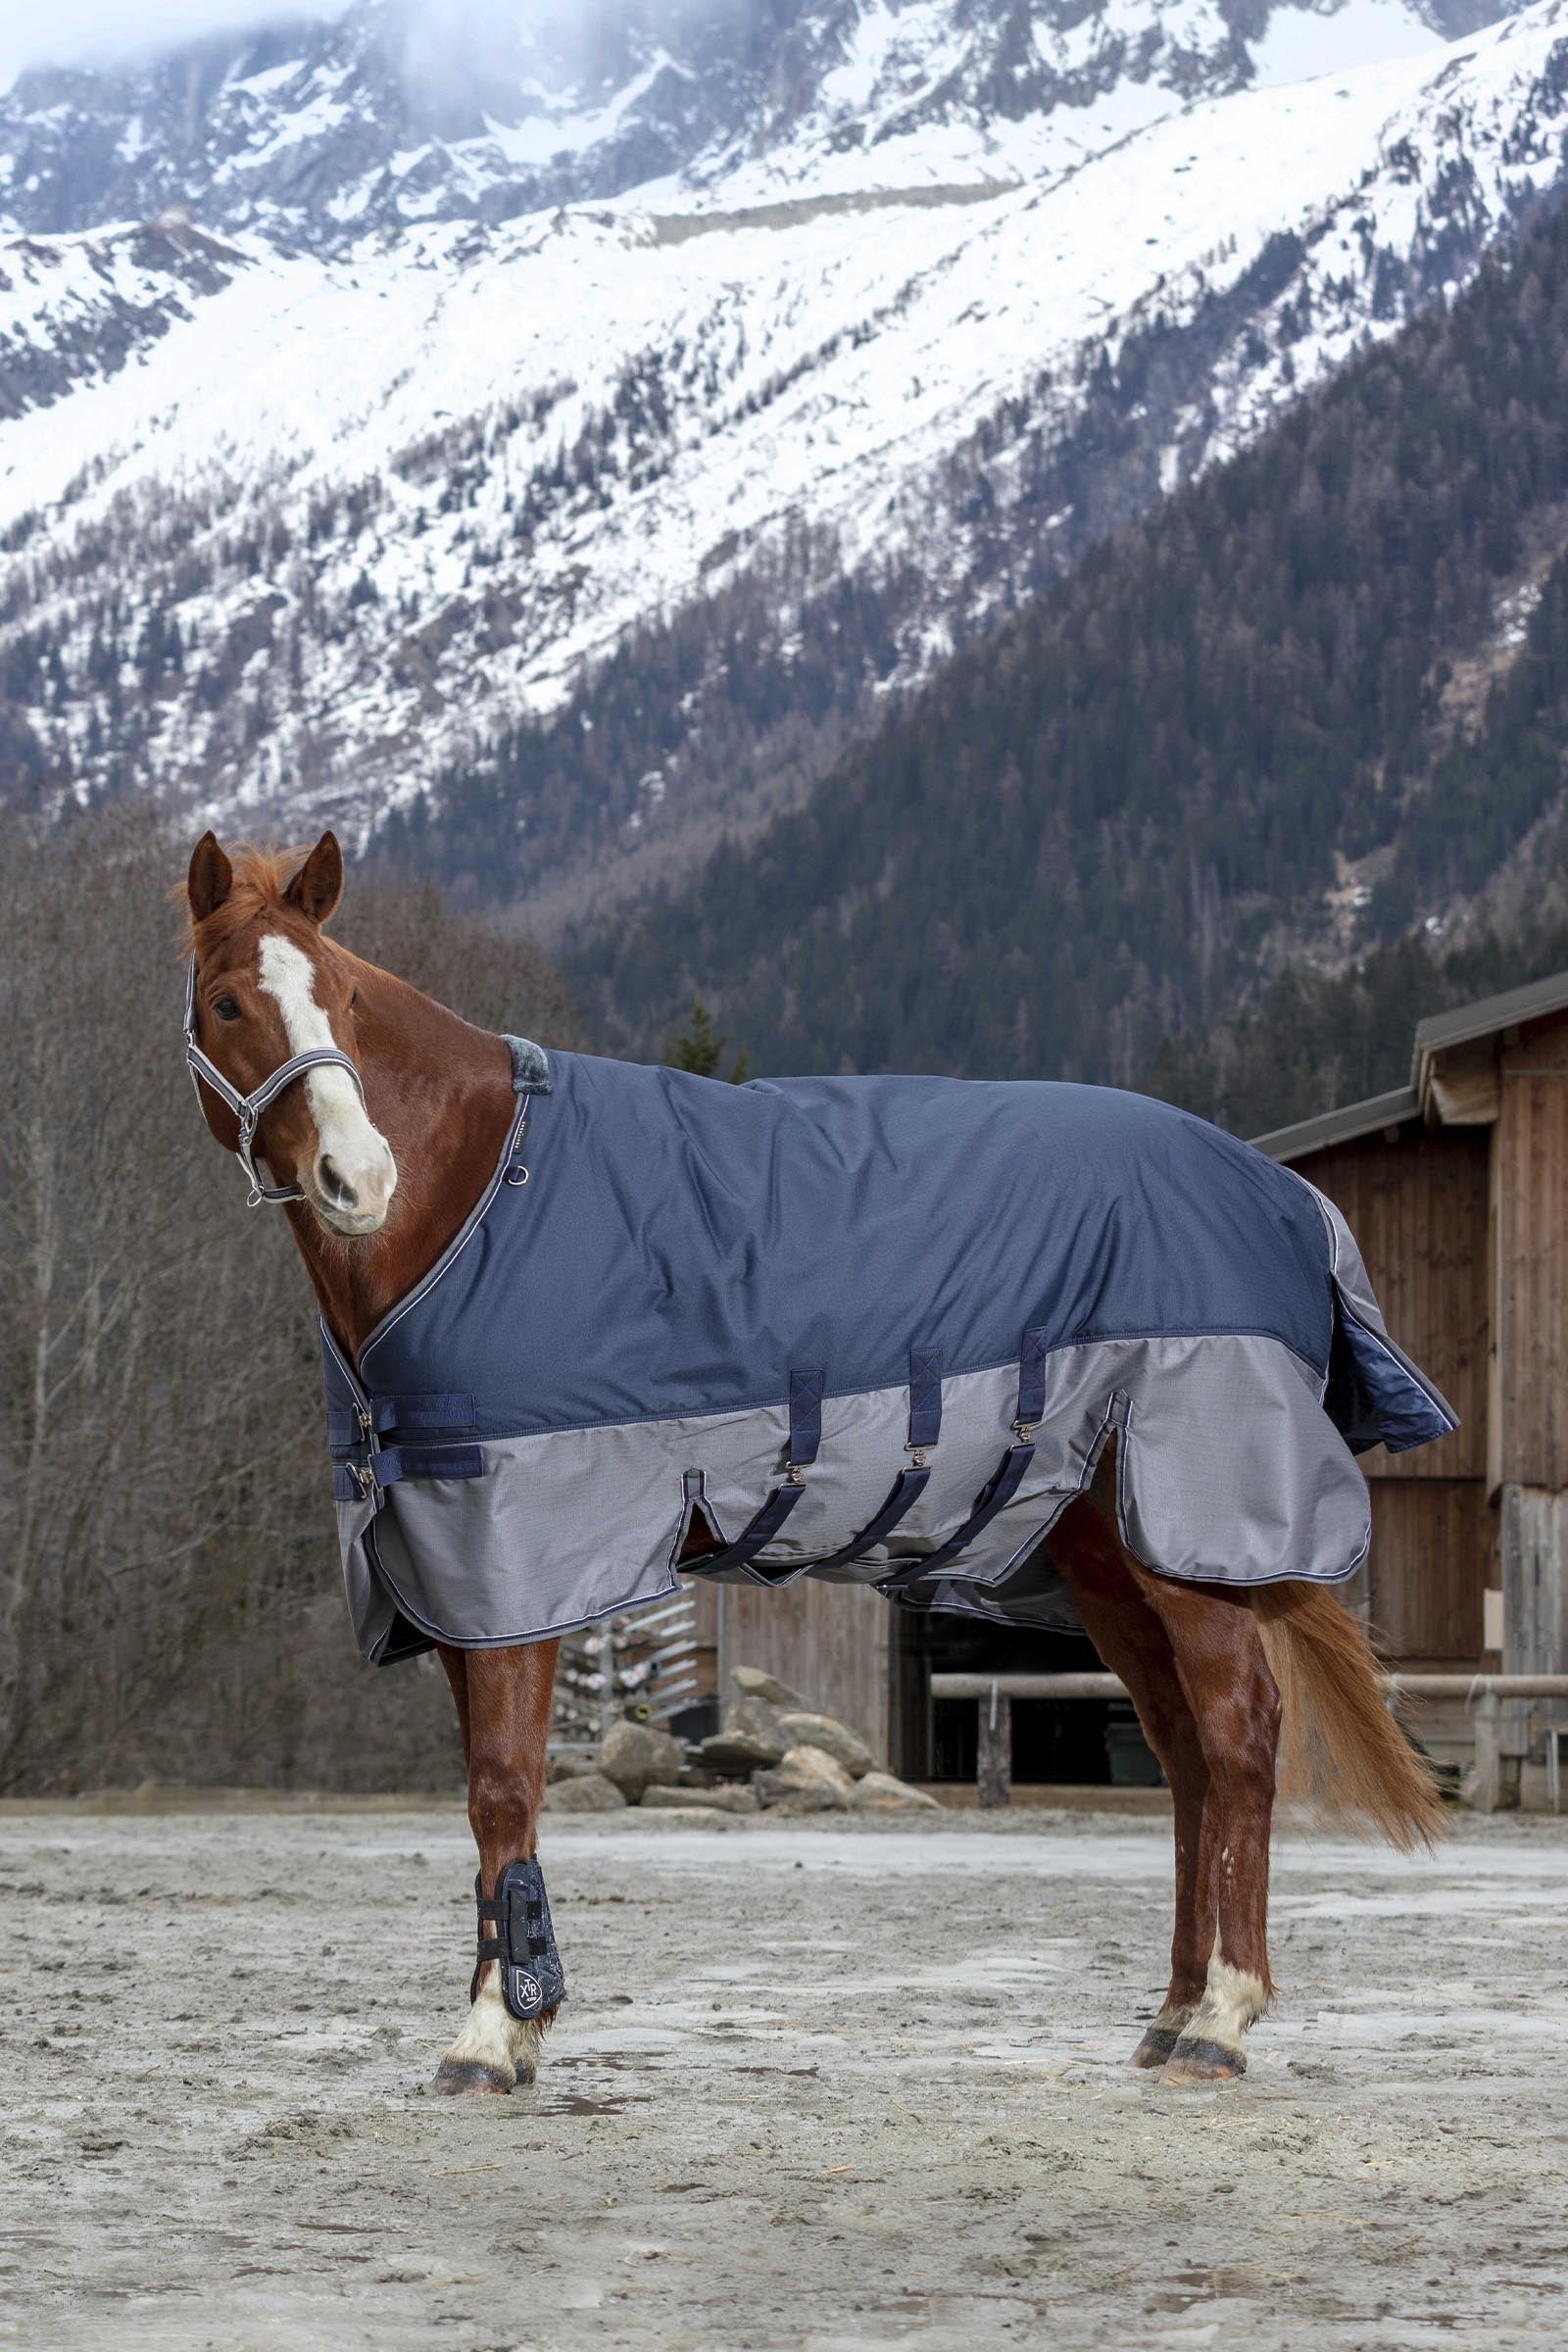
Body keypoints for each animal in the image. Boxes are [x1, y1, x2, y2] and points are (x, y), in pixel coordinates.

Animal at [181, 828, 1446, 2095]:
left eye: (343, 998)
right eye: (230, 1000)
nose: (358, 1179)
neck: (480, 1194)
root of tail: (1285, 1193)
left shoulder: (519, 1562)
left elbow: (503, 1788)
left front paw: (493, 2034)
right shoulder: (453, 1574)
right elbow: (487, 1795)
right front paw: (517, 2018)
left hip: (1193, 1538)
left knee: (1238, 1740)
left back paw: (1220, 2020)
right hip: (1106, 1553)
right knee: (1182, 1755)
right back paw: (1172, 2012)